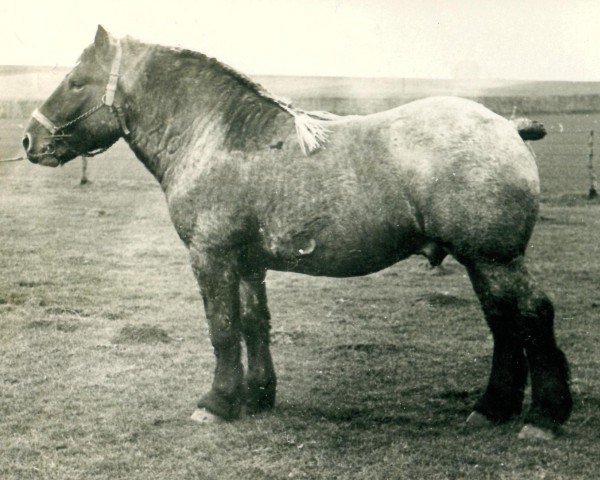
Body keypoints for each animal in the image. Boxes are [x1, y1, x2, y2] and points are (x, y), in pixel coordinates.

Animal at [22, 26, 572, 438]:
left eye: (77, 82)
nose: (30, 140)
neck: (218, 138)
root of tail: (507, 125)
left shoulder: (211, 257)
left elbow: (222, 328)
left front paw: (216, 403)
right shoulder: (247, 263)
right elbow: (253, 324)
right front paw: (257, 397)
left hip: (495, 258)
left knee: (532, 315)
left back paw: (543, 418)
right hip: (479, 260)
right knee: (503, 322)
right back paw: (492, 410)